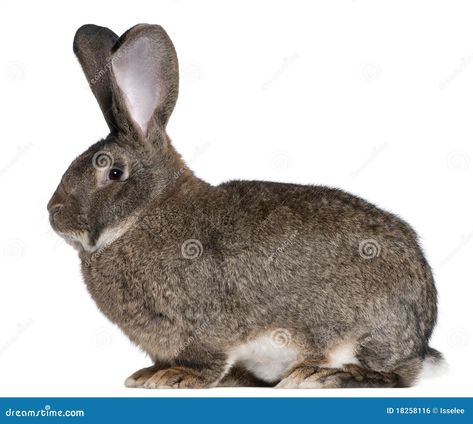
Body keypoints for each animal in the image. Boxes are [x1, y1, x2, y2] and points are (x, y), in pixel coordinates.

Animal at [46, 22, 440, 388]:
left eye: (113, 172)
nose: (53, 213)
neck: (145, 212)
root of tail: (422, 334)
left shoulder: (202, 328)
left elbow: (204, 360)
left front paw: (174, 378)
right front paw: (147, 375)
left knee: (392, 374)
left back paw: (318, 374)